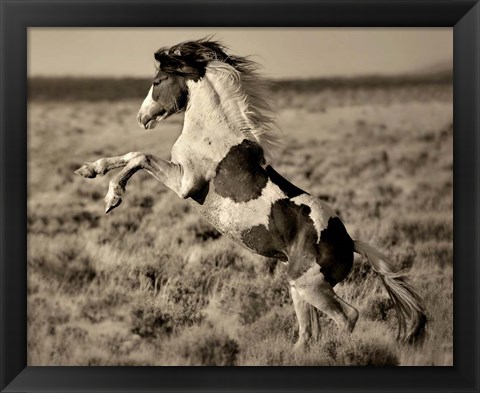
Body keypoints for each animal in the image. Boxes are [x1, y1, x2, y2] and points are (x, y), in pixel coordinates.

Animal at [76, 39, 428, 346]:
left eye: (158, 80)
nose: (142, 117)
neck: (213, 131)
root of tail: (350, 242)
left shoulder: (185, 183)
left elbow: (140, 157)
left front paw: (112, 197)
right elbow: (131, 155)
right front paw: (89, 169)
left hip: (311, 286)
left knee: (348, 317)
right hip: (298, 288)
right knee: (308, 334)